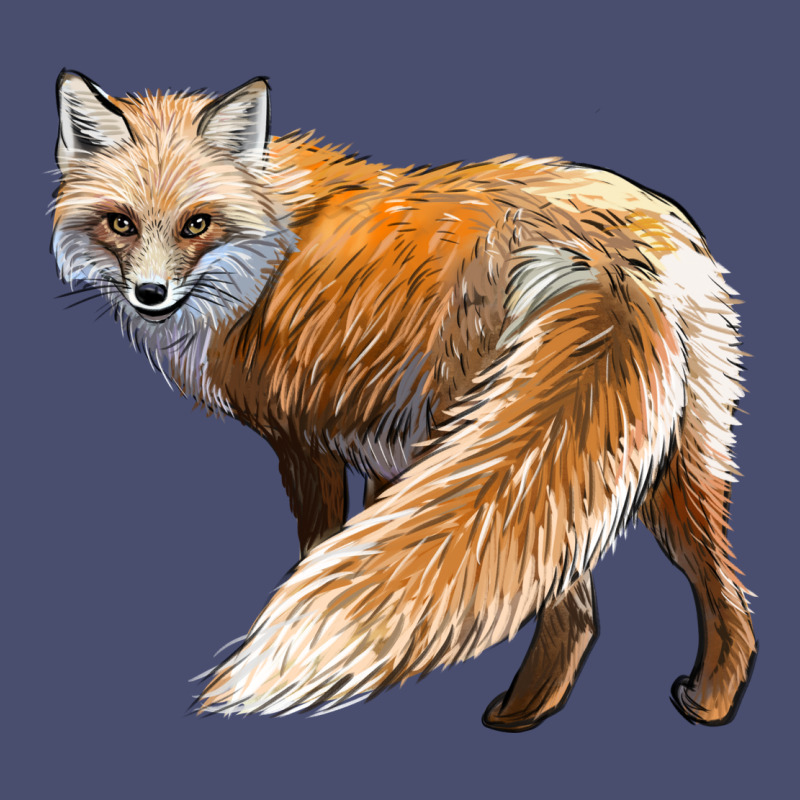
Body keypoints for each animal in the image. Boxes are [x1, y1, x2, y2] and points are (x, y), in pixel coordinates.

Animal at [52, 70, 757, 731]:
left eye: (196, 223)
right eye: (121, 223)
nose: (150, 294)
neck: (272, 246)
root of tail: (603, 254)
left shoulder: (303, 439)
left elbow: (321, 545)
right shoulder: (382, 447)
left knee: (572, 605)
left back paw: (517, 714)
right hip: (665, 456)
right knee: (716, 588)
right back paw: (708, 701)